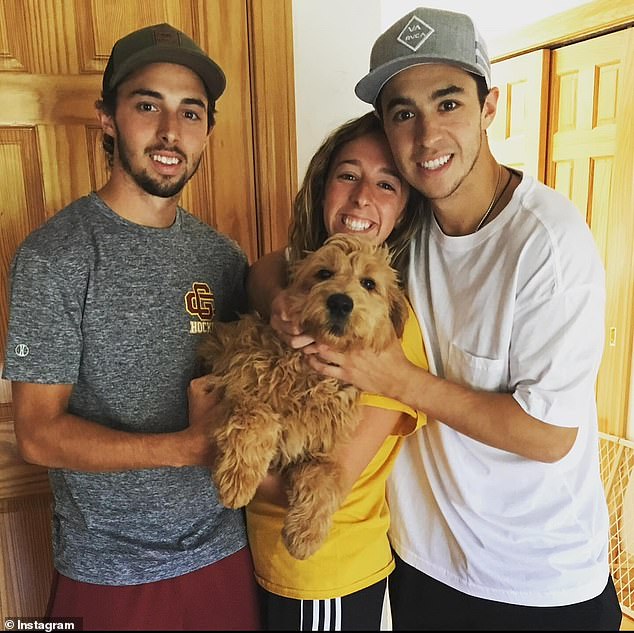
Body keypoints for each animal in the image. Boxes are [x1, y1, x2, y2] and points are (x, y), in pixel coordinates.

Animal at [198, 233, 404, 556]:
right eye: (324, 273)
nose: (340, 302)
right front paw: (237, 482)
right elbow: (256, 416)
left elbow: (325, 477)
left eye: (369, 283)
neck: (308, 376)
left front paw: (305, 533)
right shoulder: (231, 383)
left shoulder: (326, 450)